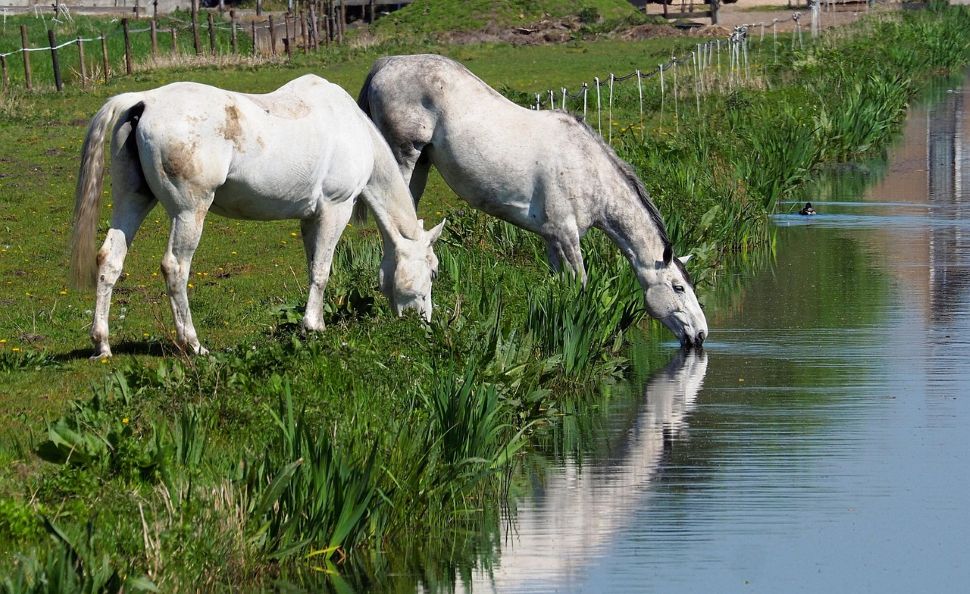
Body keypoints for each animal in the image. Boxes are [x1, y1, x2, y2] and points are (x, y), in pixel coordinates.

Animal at [70, 74, 445, 359]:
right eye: (433, 271)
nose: (425, 321)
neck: (352, 127)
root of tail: (143, 101)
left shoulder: (310, 218)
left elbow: (313, 267)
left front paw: (315, 323)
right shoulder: (336, 209)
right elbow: (323, 271)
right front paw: (313, 327)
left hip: (133, 201)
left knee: (110, 259)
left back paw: (102, 345)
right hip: (189, 212)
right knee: (175, 267)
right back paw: (193, 344)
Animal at [357, 54, 707, 347]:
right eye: (678, 287)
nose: (702, 334)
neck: (588, 170)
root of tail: (385, 64)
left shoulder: (552, 238)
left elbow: (561, 286)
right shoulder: (567, 236)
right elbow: (581, 282)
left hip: (421, 166)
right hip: (404, 158)